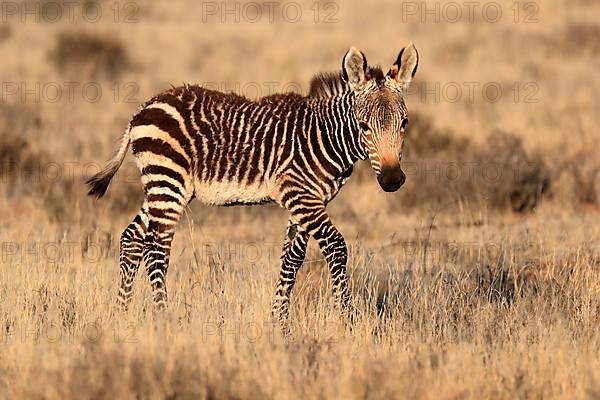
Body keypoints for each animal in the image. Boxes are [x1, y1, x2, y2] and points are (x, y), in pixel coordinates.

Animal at [86, 44, 420, 324]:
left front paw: (279, 322)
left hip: (163, 187)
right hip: (168, 181)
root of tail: (143, 109)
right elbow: (336, 248)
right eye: (363, 126)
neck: (324, 137)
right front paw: (347, 319)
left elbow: (292, 259)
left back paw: (121, 313)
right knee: (156, 247)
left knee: (132, 238)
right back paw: (162, 316)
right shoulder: (301, 197)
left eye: (404, 123)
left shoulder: (309, 200)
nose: (392, 180)